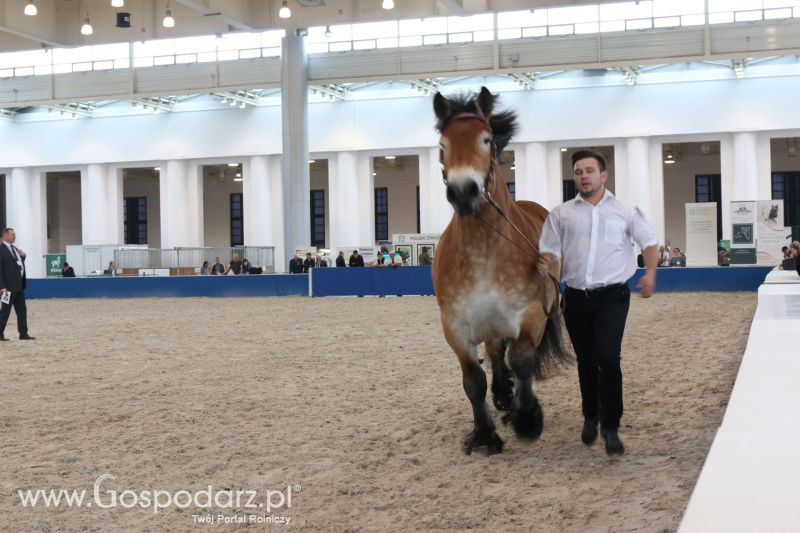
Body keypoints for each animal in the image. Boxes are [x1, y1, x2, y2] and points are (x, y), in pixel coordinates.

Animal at [428, 87, 572, 454]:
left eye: (486, 139)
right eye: (443, 145)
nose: (463, 191)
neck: (483, 253)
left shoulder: (532, 313)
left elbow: (522, 359)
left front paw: (527, 419)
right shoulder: (455, 327)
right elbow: (474, 380)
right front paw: (484, 435)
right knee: (495, 354)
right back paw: (503, 394)